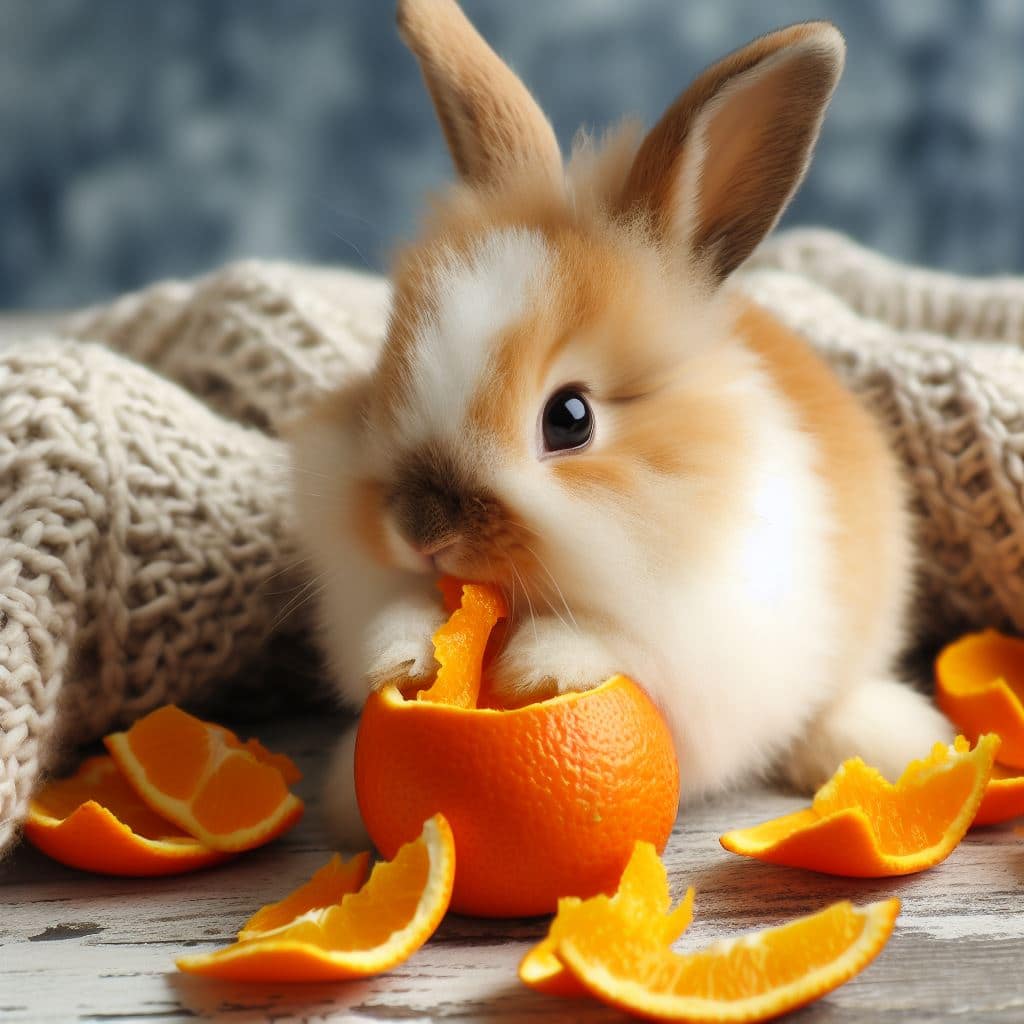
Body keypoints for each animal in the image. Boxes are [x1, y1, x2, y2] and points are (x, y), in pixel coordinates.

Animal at [289, 0, 953, 846]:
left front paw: (534, 667)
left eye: (570, 418)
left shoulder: (691, 645)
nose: (421, 530)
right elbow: (393, 618)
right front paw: (405, 658)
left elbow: (612, 645)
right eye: (383, 374)